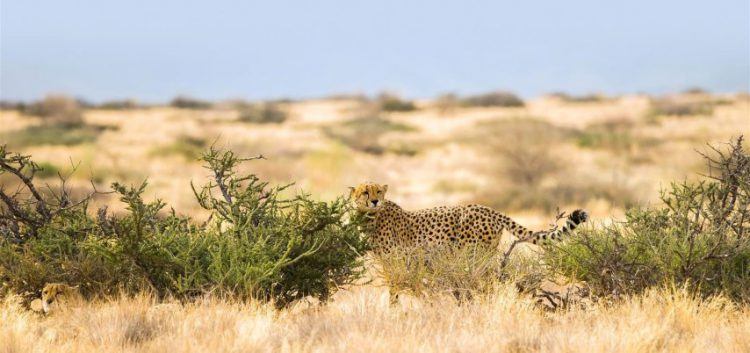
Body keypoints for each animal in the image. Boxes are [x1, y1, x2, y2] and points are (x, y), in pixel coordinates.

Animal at [350, 182, 592, 250]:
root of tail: (487, 208)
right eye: (365, 192)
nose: (375, 201)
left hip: (472, 251)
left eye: (378, 191)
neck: (370, 217)